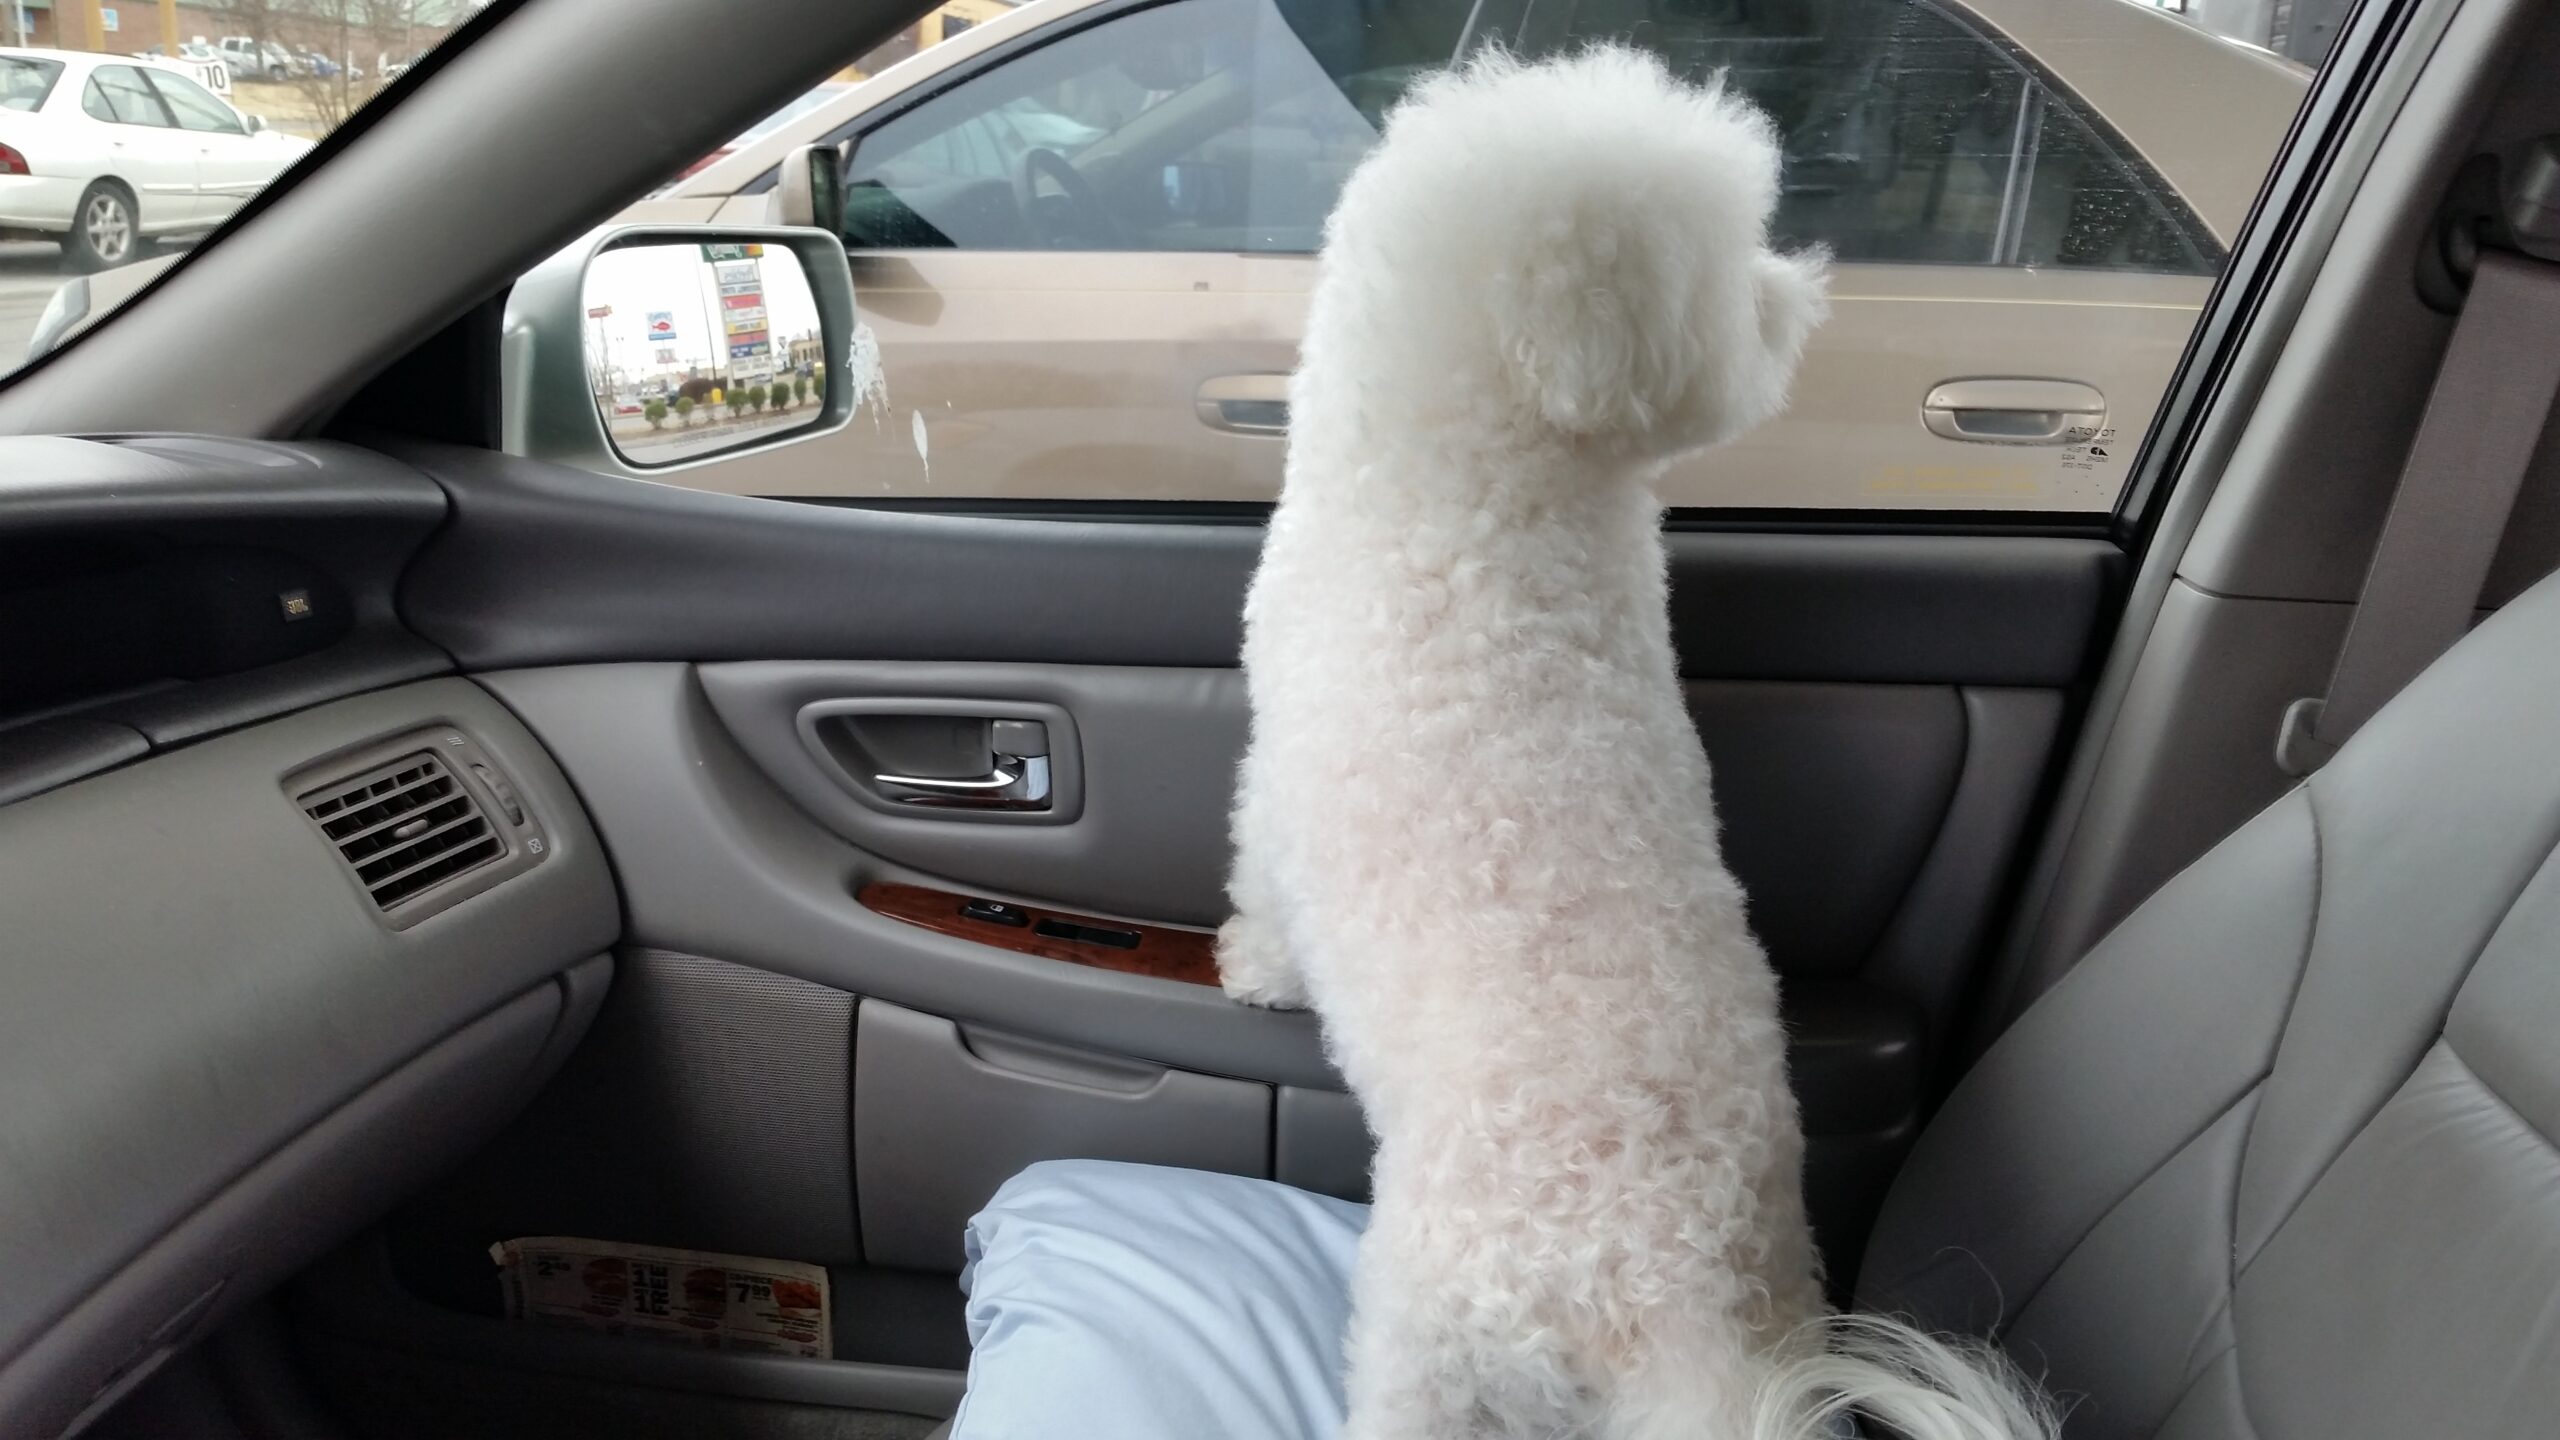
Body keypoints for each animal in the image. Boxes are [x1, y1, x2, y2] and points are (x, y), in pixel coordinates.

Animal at [1216, 47, 2057, 1440]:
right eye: (1722, 274)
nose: (1795, 296)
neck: (1487, 488)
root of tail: (1667, 1285)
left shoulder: (1272, 784)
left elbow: (1259, 888)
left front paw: (1250, 966)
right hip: (1783, 1286)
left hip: (1432, 1342)